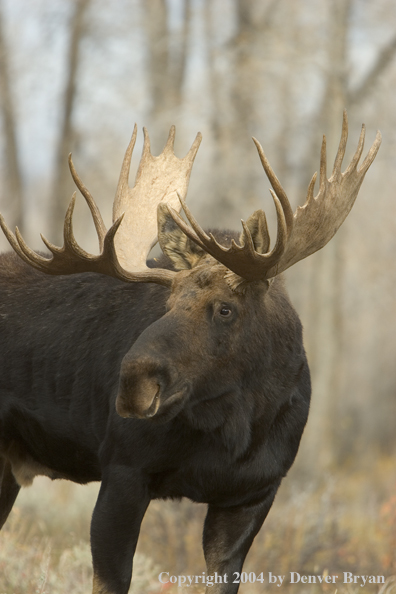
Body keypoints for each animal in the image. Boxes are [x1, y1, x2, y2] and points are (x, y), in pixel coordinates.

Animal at [0, 112, 380, 592]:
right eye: (167, 303)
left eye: (225, 308)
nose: (133, 383)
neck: (237, 430)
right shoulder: (123, 470)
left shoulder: (253, 493)